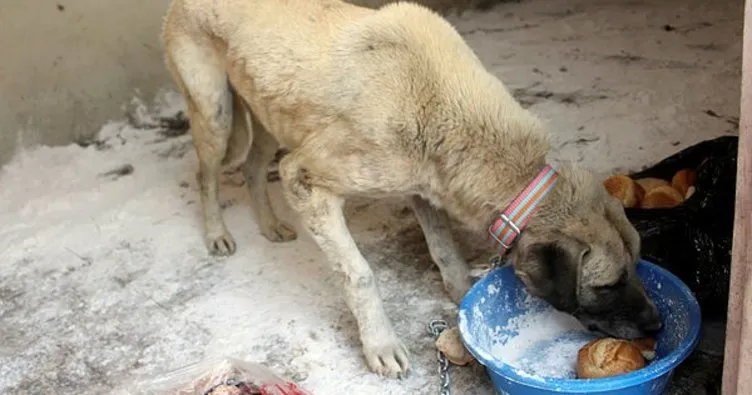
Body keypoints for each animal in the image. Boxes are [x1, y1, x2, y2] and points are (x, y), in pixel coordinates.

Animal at [162, 0, 660, 378]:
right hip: (215, 112)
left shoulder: (426, 185)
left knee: (250, 167)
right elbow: (359, 274)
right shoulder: (302, 177)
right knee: (206, 174)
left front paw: (461, 297)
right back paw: (217, 234)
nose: (657, 324)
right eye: (609, 284)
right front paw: (380, 344)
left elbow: (444, 250)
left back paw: (268, 225)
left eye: (638, 266)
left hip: (268, 115)